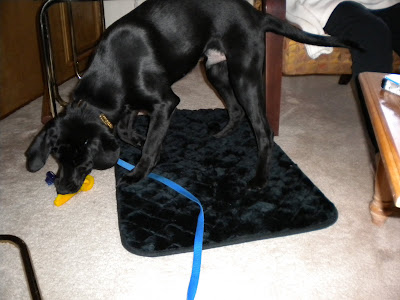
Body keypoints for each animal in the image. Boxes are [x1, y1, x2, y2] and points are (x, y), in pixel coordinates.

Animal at [25, 0, 356, 195]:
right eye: (57, 157)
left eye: (83, 160)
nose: (62, 189)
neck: (111, 73)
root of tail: (256, 13)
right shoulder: (131, 105)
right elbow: (125, 131)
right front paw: (137, 142)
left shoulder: (166, 103)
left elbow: (149, 145)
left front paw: (140, 170)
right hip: (217, 70)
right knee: (236, 111)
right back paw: (223, 134)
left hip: (243, 75)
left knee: (264, 130)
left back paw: (260, 177)